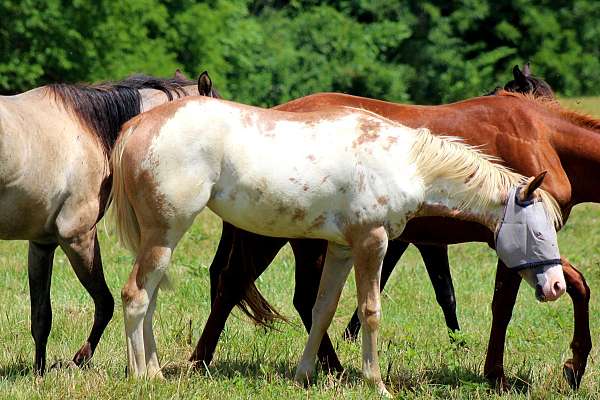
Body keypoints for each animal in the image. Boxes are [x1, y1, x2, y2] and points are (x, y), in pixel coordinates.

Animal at [0, 70, 216, 374]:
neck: (88, 131)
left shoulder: (42, 244)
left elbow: (41, 317)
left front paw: (39, 373)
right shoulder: (78, 238)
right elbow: (105, 303)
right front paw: (80, 358)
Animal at [109, 94, 568, 396]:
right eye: (538, 232)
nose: (557, 286)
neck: (406, 161)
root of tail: (137, 126)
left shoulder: (342, 249)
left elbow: (322, 309)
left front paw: (304, 374)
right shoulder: (371, 242)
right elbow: (369, 311)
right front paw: (375, 382)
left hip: (160, 240)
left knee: (149, 298)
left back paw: (155, 372)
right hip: (166, 233)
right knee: (135, 295)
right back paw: (141, 377)